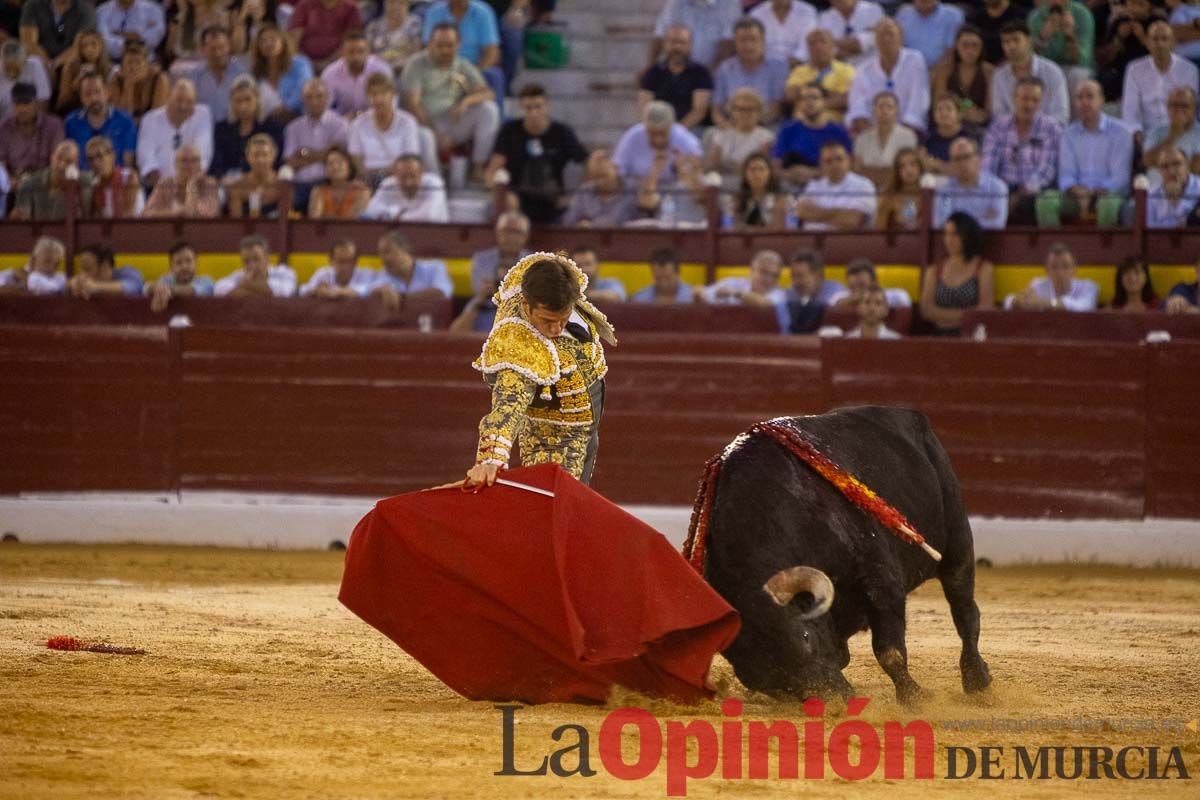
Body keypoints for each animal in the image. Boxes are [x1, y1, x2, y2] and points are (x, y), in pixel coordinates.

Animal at [700, 407, 993, 700]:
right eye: (762, 679)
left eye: (806, 638)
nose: (837, 700)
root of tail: (909, 414)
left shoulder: (880, 580)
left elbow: (890, 652)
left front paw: (914, 698)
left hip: (957, 542)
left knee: (964, 609)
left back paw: (977, 681)